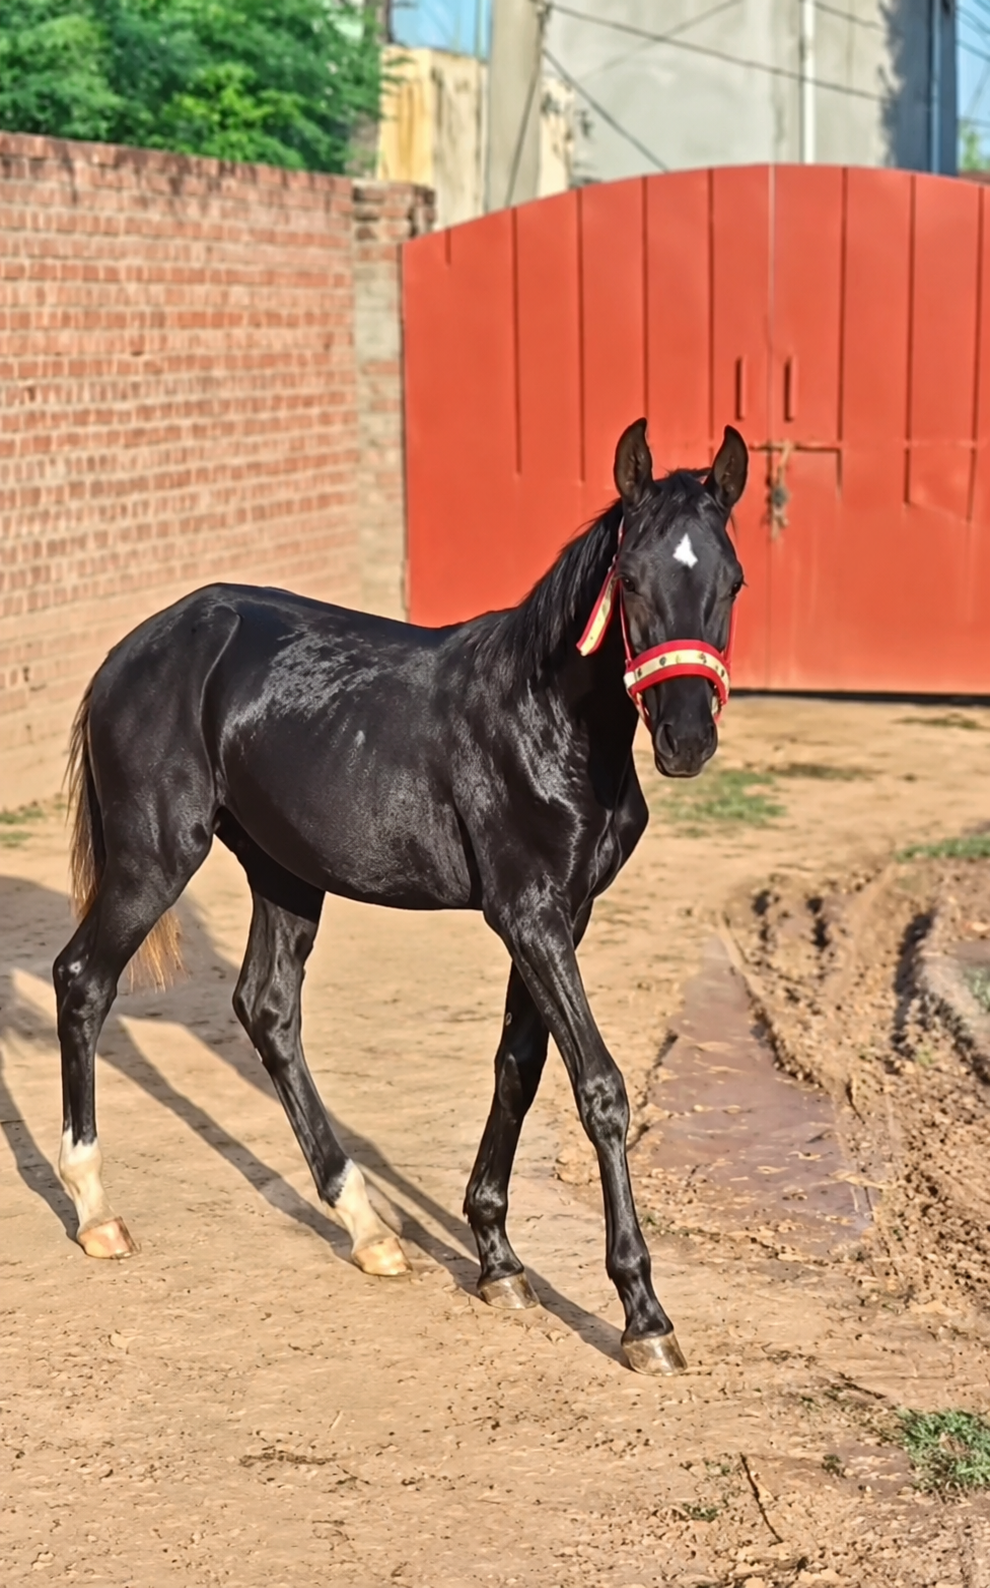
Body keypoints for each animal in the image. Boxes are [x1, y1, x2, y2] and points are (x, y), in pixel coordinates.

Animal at [55, 418, 747, 1376]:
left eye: (731, 582)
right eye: (633, 579)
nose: (686, 739)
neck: (550, 718)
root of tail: (134, 651)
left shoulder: (558, 916)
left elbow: (519, 1068)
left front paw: (497, 1261)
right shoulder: (528, 914)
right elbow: (598, 1086)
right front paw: (644, 1314)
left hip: (285, 872)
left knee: (267, 1009)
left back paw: (369, 1228)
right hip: (153, 856)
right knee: (84, 980)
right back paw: (96, 1211)